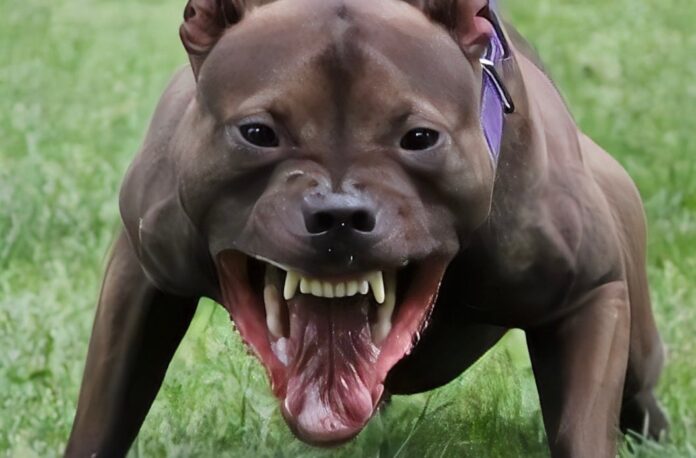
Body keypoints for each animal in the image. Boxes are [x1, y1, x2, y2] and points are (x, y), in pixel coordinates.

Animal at [65, 0, 668, 456]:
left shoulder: (593, 295)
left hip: (636, 342)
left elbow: (579, 430)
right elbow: (102, 419)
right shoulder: (141, 276)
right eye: (257, 133)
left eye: (420, 138)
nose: (339, 214)